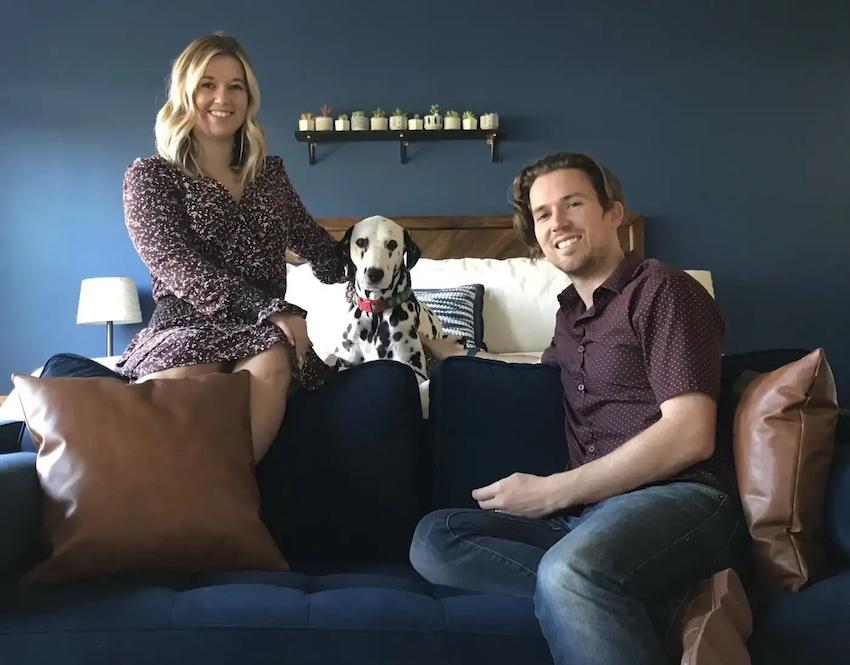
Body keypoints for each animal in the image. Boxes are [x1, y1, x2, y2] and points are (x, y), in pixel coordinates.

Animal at [330, 215, 440, 382]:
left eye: (392, 244)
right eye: (360, 242)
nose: (374, 273)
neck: (375, 314)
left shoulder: (416, 371)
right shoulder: (346, 365)